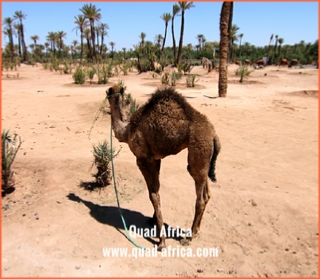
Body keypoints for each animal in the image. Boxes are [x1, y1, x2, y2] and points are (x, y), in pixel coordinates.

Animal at [106, 86, 221, 252]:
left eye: (107, 93)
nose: (106, 95)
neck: (127, 131)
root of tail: (213, 135)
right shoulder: (156, 159)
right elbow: (157, 191)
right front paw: (153, 219)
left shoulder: (143, 159)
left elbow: (153, 195)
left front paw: (161, 242)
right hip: (204, 158)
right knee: (207, 192)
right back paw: (197, 231)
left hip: (199, 148)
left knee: (200, 197)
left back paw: (189, 237)